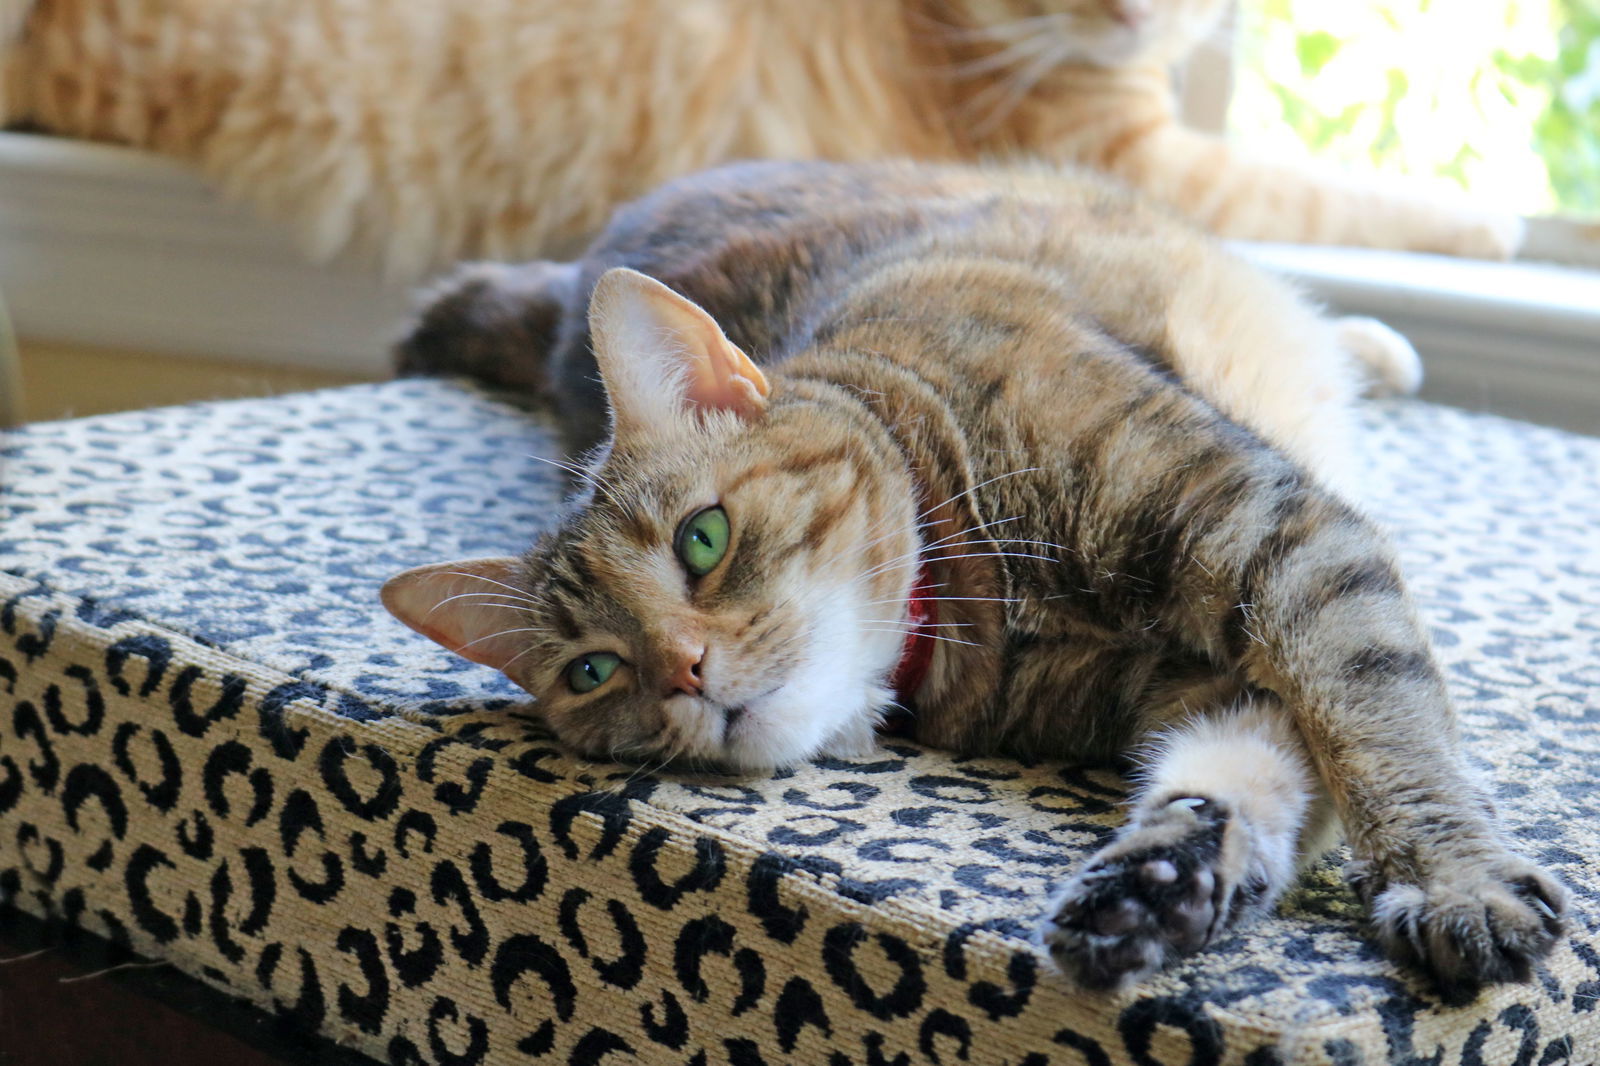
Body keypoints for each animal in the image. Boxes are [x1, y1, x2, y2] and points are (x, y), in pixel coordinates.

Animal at [384, 160, 1561, 998]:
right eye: (593, 672)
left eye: (702, 540)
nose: (682, 670)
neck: (979, 593)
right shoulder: (1217, 679)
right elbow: (1244, 771)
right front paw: (1155, 888)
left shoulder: (1279, 539)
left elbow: (1381, 723)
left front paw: (1455, 880)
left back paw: (1374, 345)